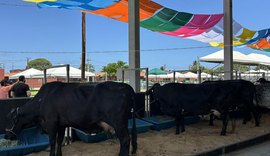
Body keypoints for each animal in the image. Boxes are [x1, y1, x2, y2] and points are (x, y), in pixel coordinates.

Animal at [4, 81, 137, 155]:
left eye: (10, 121)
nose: (6, 136)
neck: (42, 100)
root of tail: (124, 85)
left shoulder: (51, 123)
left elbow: (52, 141)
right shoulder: (61, 125)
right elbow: (59, 140)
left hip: (118, 123)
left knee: (125, 140)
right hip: (123, 122)